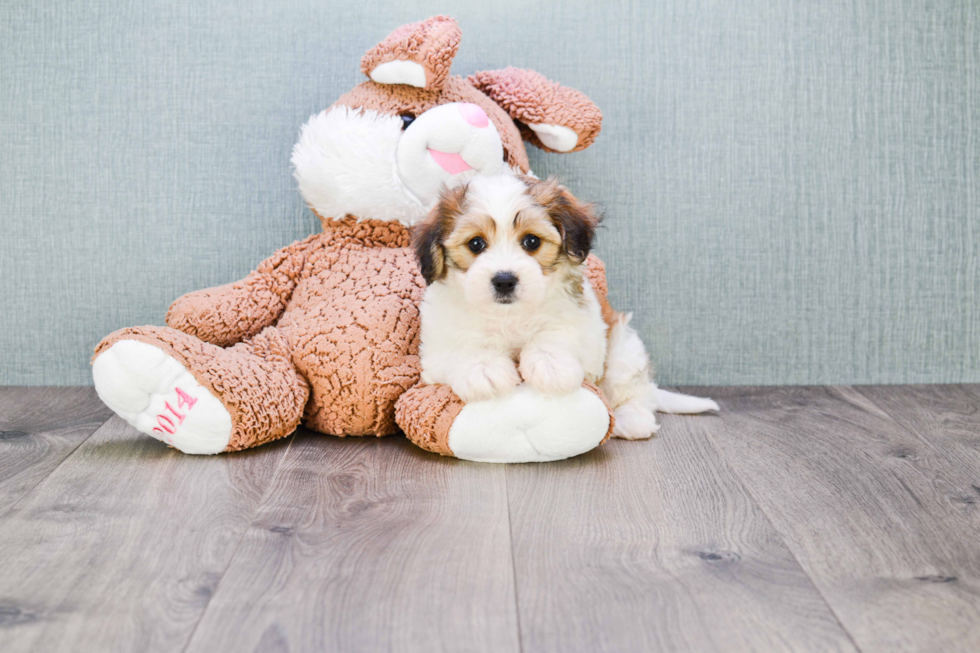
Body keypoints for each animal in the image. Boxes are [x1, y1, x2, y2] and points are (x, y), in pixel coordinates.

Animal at [412, 173, 704, 438]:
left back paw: (631, 419)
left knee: (633, 388)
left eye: (532, 241)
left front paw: (549, 364)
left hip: (625, 348)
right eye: (476, 243)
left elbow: (556, 331)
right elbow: (463, 344)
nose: (504, 280)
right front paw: (483, 369)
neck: (510, 315)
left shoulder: (585, 323)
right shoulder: (436, 346)